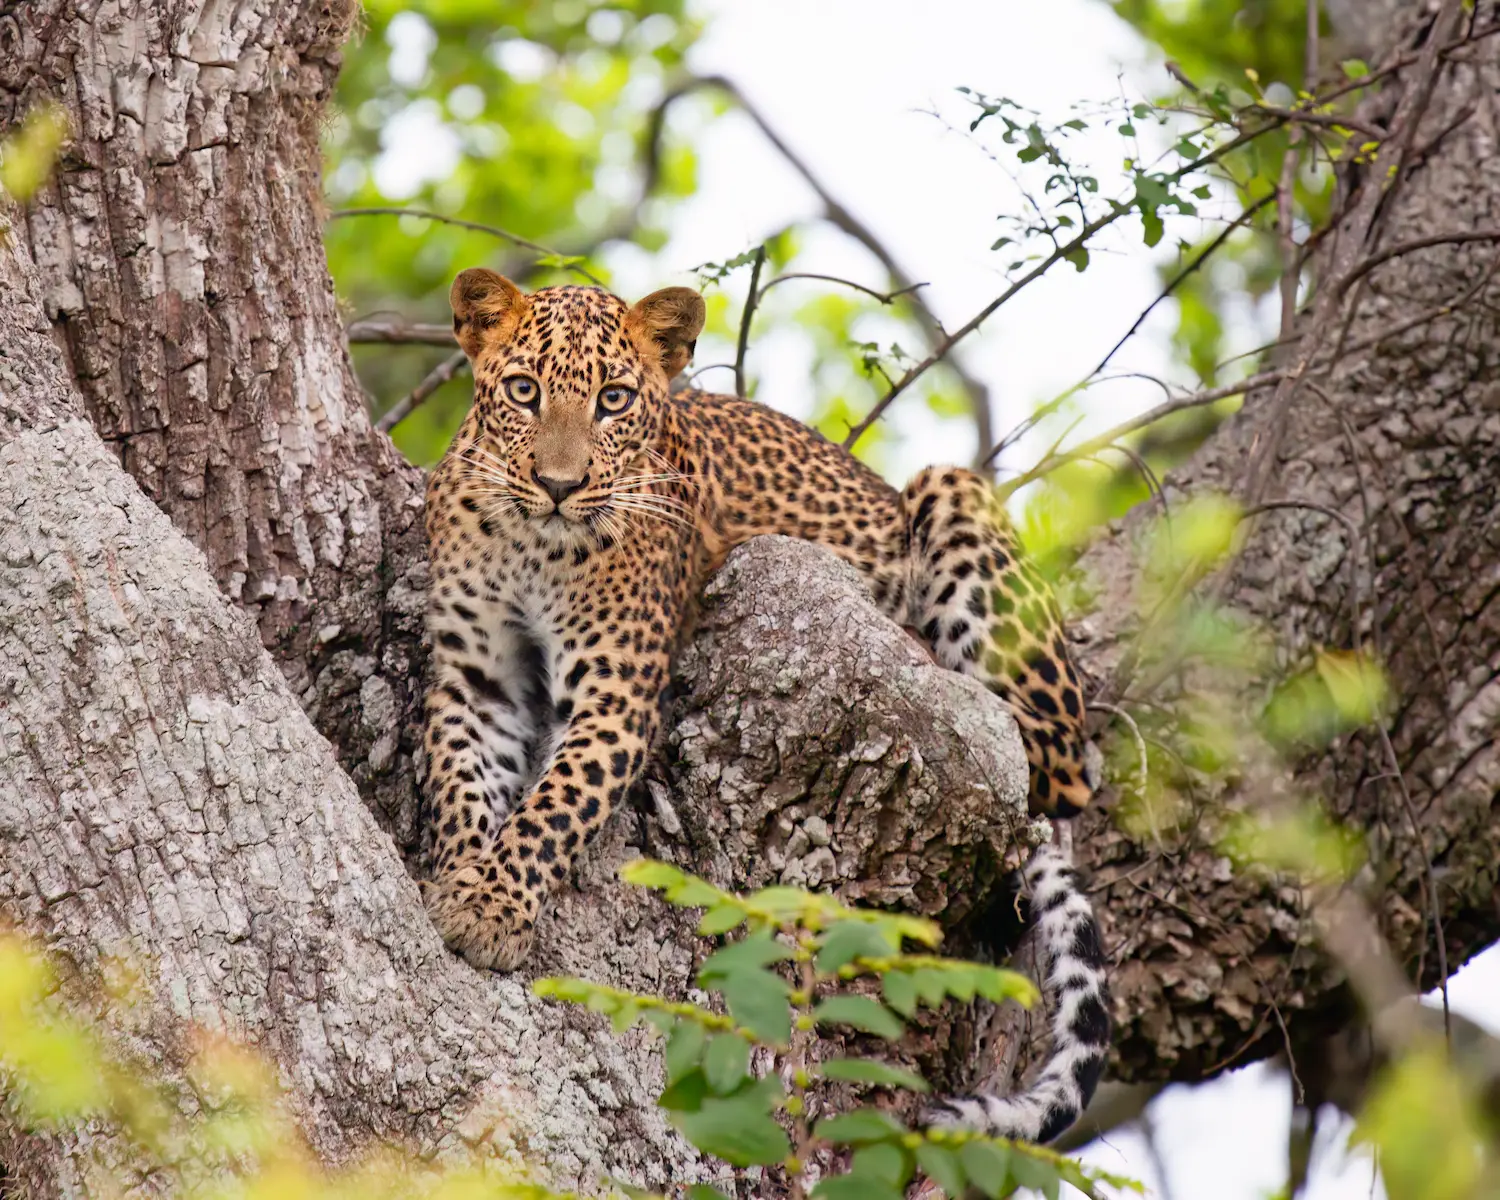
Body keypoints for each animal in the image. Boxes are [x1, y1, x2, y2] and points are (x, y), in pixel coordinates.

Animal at [419, 267, 1110, 1144]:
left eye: (613, 400)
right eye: (522, 390)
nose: (558, 487)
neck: (532, 546)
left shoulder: (617, 693)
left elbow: (557, 804)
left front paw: (492, 907)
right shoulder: (476, 679)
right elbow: (458, 783)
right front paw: (460, 879)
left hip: (954, 504)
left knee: (1056, 766)